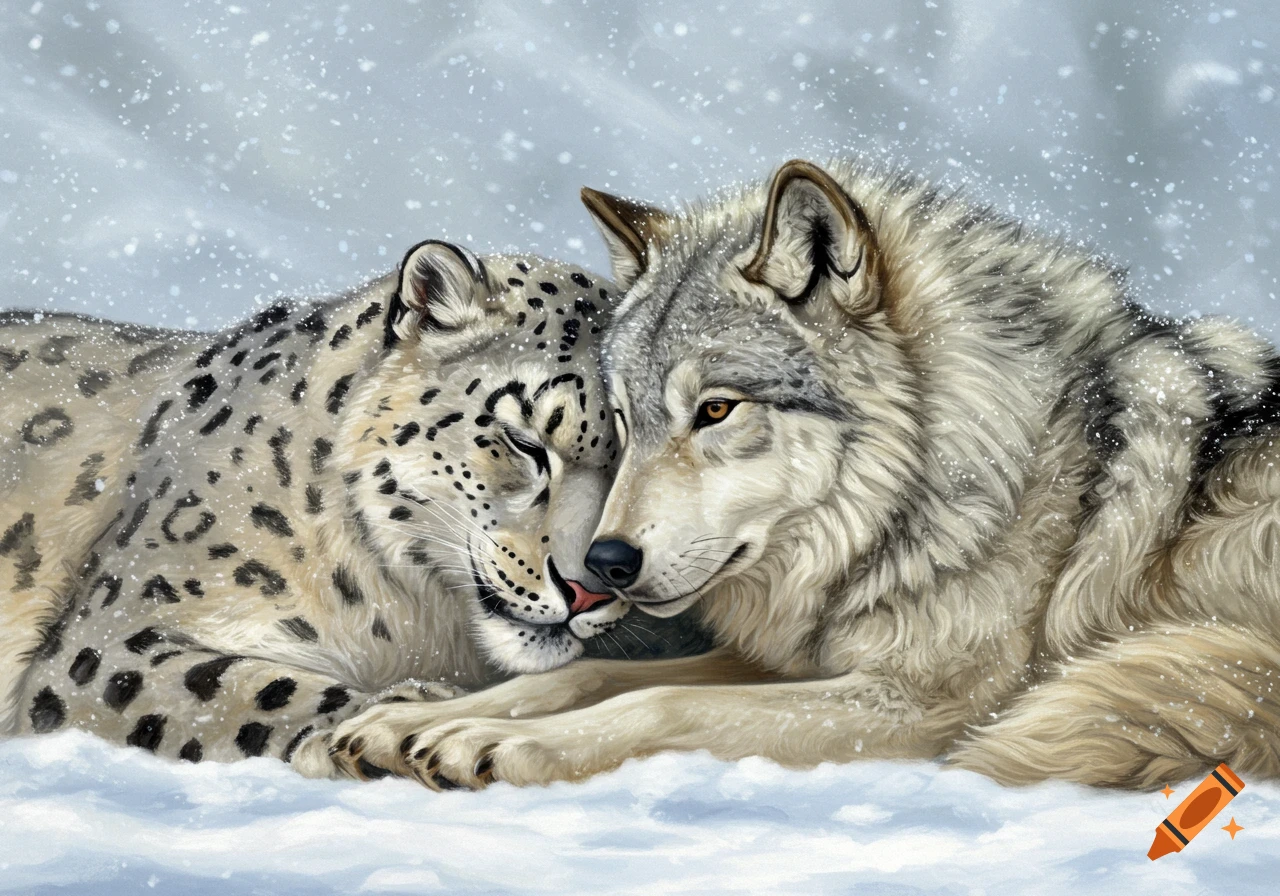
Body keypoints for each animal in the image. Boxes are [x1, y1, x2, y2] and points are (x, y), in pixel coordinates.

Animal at [0, 238, 629, 778]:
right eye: (524, 441)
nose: (589, 589)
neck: (414, 621)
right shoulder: (114, 633)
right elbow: (243, 686)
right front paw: (393, 717)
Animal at [331, 158, 1280, 791]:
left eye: (716, 410)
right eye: (626, 422)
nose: (602, 565)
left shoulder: (924, 703)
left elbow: (658, 705)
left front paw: (499, 744)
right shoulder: (789, 663)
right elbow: (579, 675)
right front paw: (414, 720)